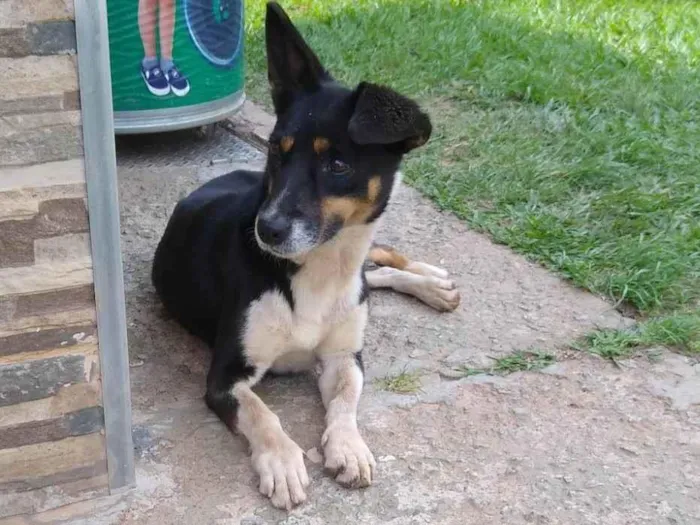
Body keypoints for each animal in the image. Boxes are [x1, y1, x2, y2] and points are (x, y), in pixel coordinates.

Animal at [152, 2, 460, 510]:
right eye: (277, 151)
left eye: (337, 165)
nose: (267, 229)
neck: (321, 271)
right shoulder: (225, 377)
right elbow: (263, 414)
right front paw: (281, 461)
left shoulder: (344, 356)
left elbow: (346, 400)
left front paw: (349, 446)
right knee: (375, 271)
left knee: (379, 260)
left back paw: (432, 281)